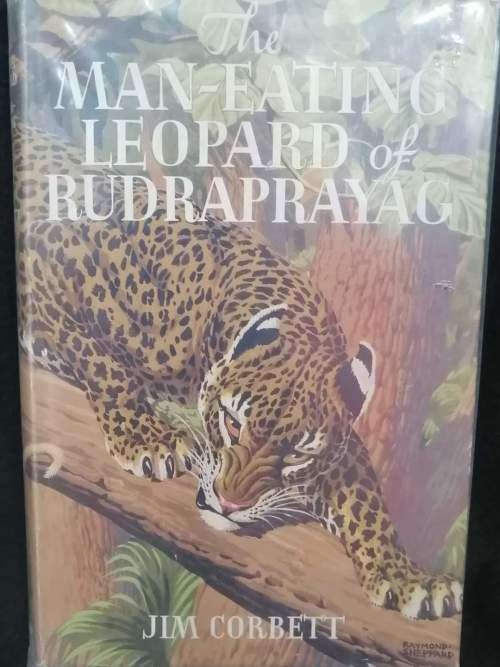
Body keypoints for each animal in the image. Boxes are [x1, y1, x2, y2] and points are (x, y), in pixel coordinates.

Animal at [13, 121, 462, 621]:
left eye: (297, 454)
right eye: (232, 423)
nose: (229, 504)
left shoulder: (341, 443)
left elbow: (366, 501)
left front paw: (407, 576)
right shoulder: (40, 262)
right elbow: (103, 360)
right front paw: (146, 437)